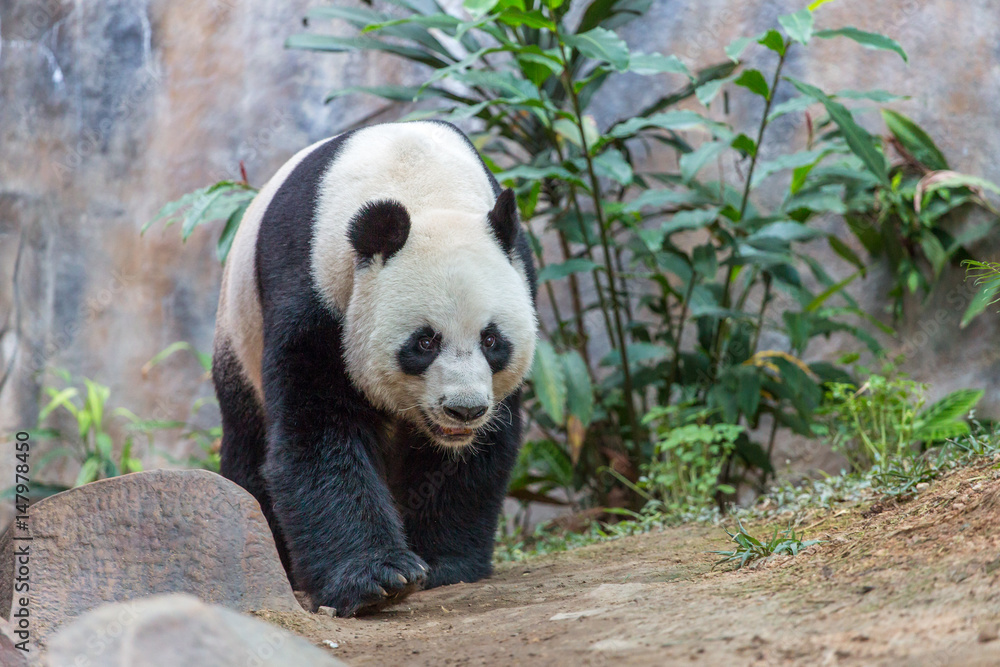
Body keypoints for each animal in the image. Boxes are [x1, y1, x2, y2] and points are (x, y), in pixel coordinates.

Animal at [212, 121, 538, 617]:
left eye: (491, 340)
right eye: (425, 342)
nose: (464, 410)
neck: (418, 182)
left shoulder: (519, 271)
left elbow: (475, 453)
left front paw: (445, 561)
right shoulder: (315, 290)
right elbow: (317, 434)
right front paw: (380, 577)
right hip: (237, 333)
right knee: (247, 441)